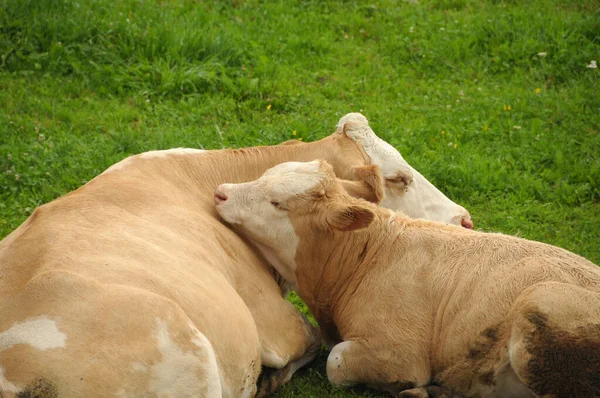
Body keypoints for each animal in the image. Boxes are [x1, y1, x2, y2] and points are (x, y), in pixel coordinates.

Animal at [216, 159, 600, 398]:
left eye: (277, 203)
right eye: (263, 175)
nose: (221, 192)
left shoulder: (397, 354)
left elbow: (335, 362)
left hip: (542, 305)